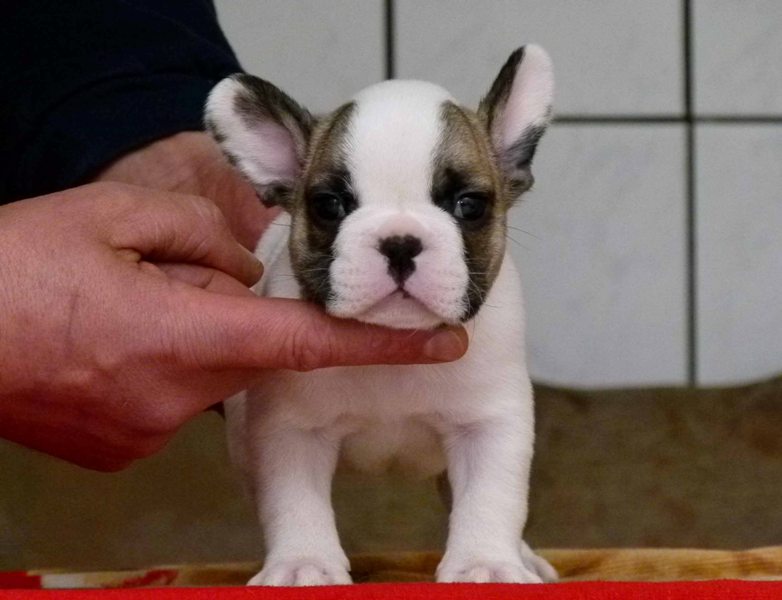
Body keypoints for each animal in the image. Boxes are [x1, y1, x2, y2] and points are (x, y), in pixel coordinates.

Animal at [204, 45, 556, 584]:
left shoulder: (490, 426)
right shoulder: (291, 431)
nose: (400, 241)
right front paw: (303, 564)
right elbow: (295, 501)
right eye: (329, 205)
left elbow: (491, 498)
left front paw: (486, 565)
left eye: (469, 205)